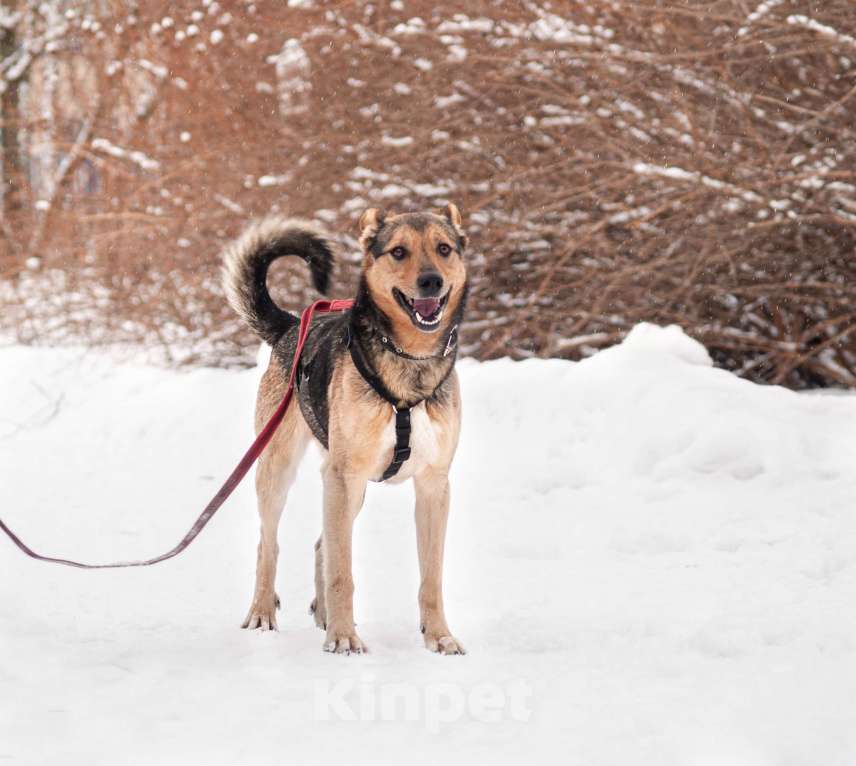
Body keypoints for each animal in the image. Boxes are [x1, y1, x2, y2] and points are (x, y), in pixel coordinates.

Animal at [222, 207, 468, 656]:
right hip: (280, 470)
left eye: (444, 249)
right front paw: (343, 637)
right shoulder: (343, 475)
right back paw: (264, 611)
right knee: (269, 543)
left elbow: (431, 577)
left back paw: (321, 613)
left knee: (322, 544)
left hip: (345, 489)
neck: (410, 361)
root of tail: (291, 326)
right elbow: (342, 573)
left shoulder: (433, 486)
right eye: (398, 251)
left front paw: (439, 636)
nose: (431, 281)